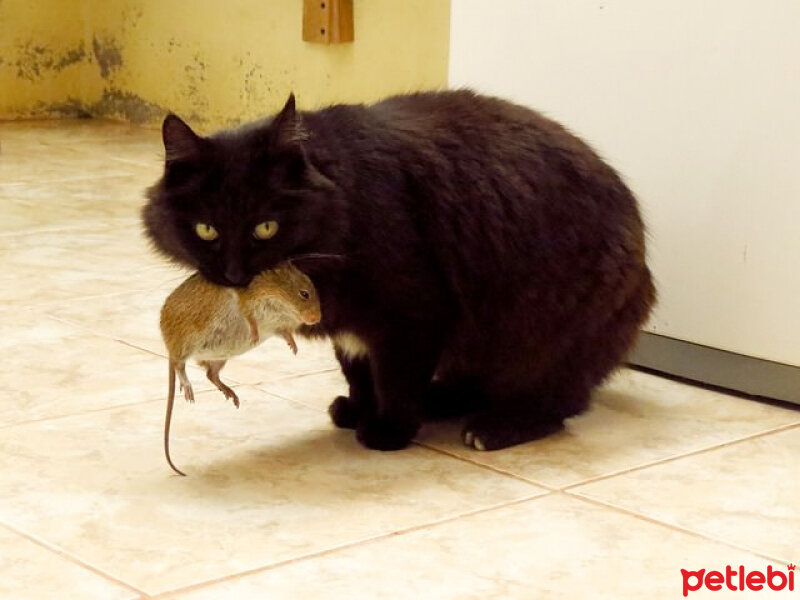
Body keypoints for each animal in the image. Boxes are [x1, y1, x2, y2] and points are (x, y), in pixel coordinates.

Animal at [144, 90, 656, 450]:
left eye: (266, 227)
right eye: (206, 229)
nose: (234, 274)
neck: (344, 207)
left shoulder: (412, 315)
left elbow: (393, 377)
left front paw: (388, 430)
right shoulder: (352, 325)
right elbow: (358, 370)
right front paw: (358, 409)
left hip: (543, 335)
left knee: (557, 402)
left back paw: (494, 427)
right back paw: (440, 402)